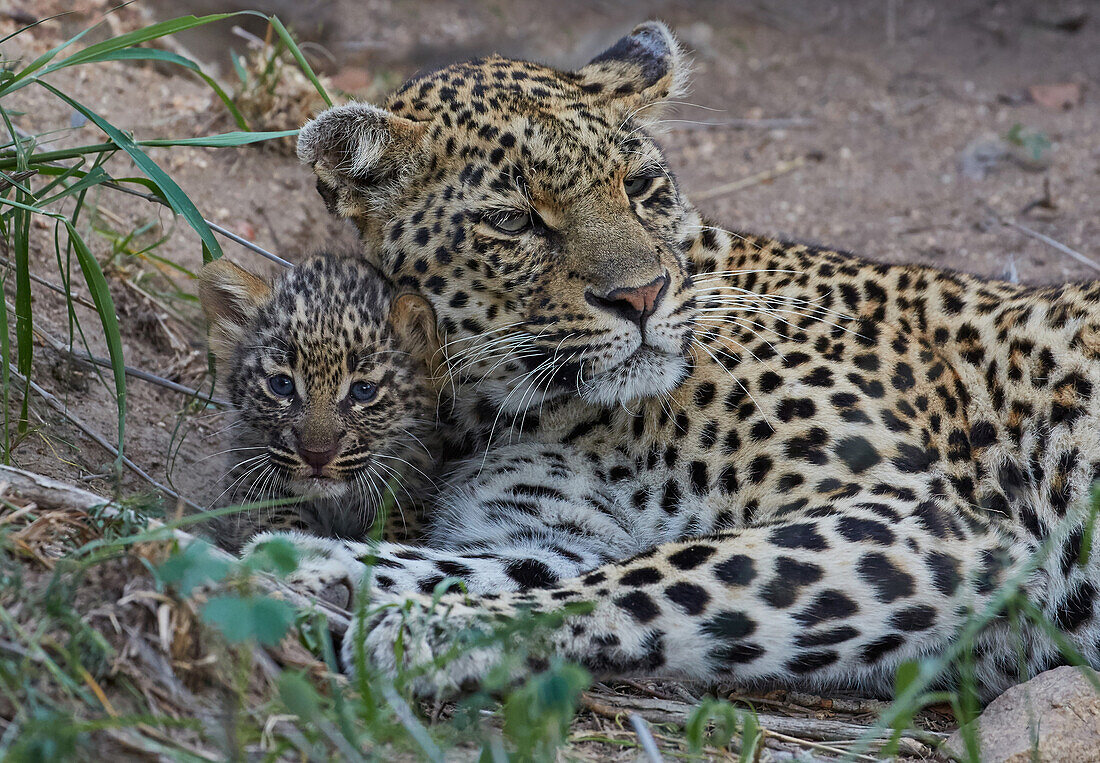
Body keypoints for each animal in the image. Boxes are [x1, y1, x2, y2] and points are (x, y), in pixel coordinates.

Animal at [272, 20, 1100, 703]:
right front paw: (294, 564)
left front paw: (439, 630)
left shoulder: (922, 520)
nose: (640, 296)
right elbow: (466, 563)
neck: (523, 409)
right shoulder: (555, 535)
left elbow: (654, 578)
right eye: (511, 221)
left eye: (640, 186)